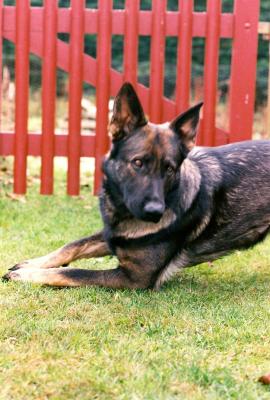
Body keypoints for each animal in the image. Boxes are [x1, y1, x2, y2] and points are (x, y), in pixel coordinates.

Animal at [3, 83, 270, 290]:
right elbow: (72, 246)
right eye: (138, 162)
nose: (155, 212)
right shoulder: (112, 236)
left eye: (170, 169)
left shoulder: (133, 278)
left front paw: (27, 274)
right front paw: (31, 263)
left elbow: (74, 272)